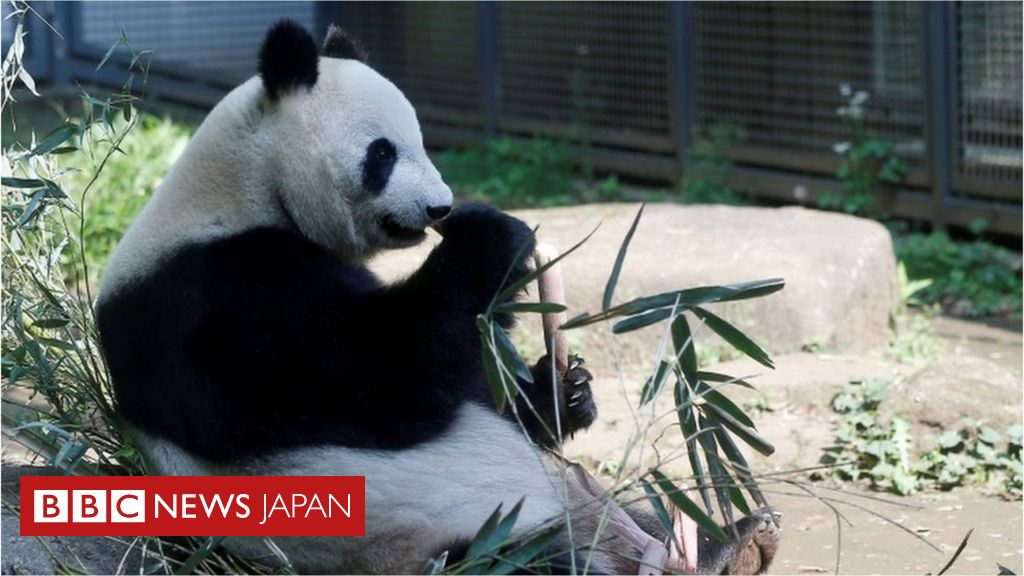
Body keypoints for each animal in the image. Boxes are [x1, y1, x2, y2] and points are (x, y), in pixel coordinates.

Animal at [99, 20, 778, 569]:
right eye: (382, 153)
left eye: (422, 141)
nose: (440, 208)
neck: (244, 189)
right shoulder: (213, 300)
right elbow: (385, 373)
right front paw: (493, 237)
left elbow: (473, 384)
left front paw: (566, 390)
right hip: (445, 541)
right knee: (531, 560)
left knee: (645, 511)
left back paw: (729, 541)